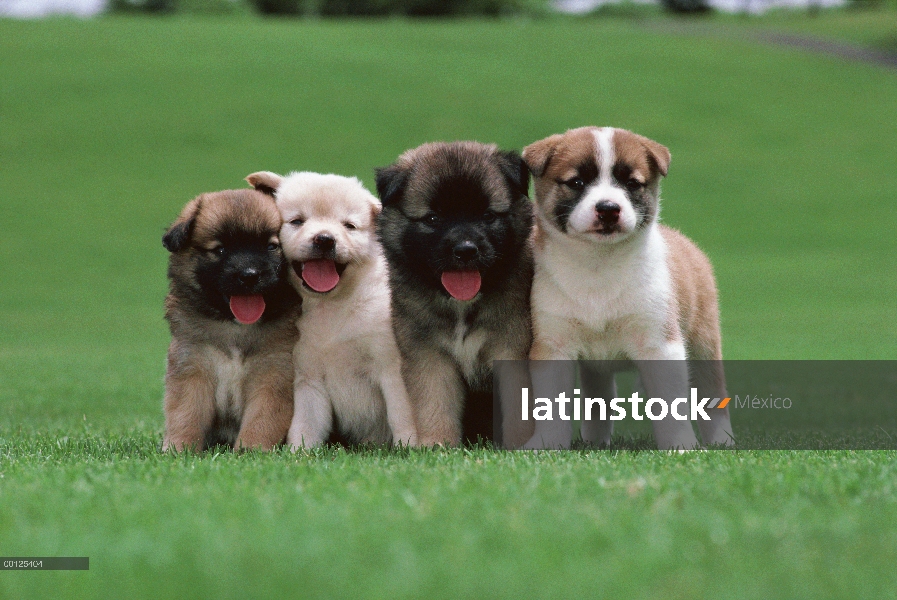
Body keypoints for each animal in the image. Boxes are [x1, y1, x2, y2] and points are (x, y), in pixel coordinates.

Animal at [162, 189, 300, 450]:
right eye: (220, 249)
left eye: (271, 246)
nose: (249, 275)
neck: (236, 327)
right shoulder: (192, 367)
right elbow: (185, 416)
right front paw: (179, 449)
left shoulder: (274, 374)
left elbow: (262, 421)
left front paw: (251, 451)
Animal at [243, 169, 414, 446]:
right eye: (297, 221)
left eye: (349, 226)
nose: (324, 239)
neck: (330, 306)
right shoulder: (308, 378)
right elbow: (305, 426)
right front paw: (298, 452)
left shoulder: (391, 368)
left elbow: (402, 416)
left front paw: (412, 449)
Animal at [374, 143, 536, 448]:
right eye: (433, 219)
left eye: (487, 216)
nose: (466, 250)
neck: (462, 306)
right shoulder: (429, 356)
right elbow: (435, 403)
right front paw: (437, 444)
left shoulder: (510, 348)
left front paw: (521, 445)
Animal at [520, 126, 732, 450]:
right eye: (577, 182)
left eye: (632, 183)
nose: (608, 209)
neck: (599, 265)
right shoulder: (553, 346)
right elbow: (551, 405)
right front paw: (546, 444)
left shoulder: (660, 344)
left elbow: (671, 404)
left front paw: (680, 445)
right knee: (599, 396)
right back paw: (595, 441)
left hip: (704, 343)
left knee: (713, 391)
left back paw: (722, 439)